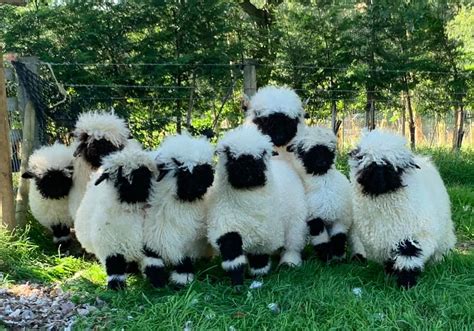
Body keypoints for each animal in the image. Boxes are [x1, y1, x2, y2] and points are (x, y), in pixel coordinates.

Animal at [74, 148, 156, 290]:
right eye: (120, 177)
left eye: (145, 173)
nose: (136, 192)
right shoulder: (111, 246)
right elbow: (115, 269)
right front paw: (116, 288)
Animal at [142, 134, 214, 290]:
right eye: (183, 171)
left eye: (205, 168)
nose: (201, 187)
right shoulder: (153, 234)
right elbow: (152, 259)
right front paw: (157, 281)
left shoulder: (188, 244)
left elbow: (183, 262)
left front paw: (181, 281)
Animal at [207, 126, 308, 286]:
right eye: (230, 154)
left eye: (262, 154)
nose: (247, 169)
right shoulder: (225, 224)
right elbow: (232, 252)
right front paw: (237, 281)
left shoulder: (265, 231)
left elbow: (259, 256)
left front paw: (258, 275)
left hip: (296, 221)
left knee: (293, 243)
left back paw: (289, 263)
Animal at [286, 127, 352, 262]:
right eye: (303, 151)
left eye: (327, 149)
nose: (321, 162)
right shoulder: (314, 218)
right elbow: (321, 239)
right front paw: (327, 258)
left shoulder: (341, 218)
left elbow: (339, 237)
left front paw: (337, 258)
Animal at [348, 131, 456, 290]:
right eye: (368, 164)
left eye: (391, 167)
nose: (378, 181)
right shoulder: (383, 240)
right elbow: (390, 259)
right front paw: (392, 274)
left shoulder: (413, 236)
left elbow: (408, 259)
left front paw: (406, 284)